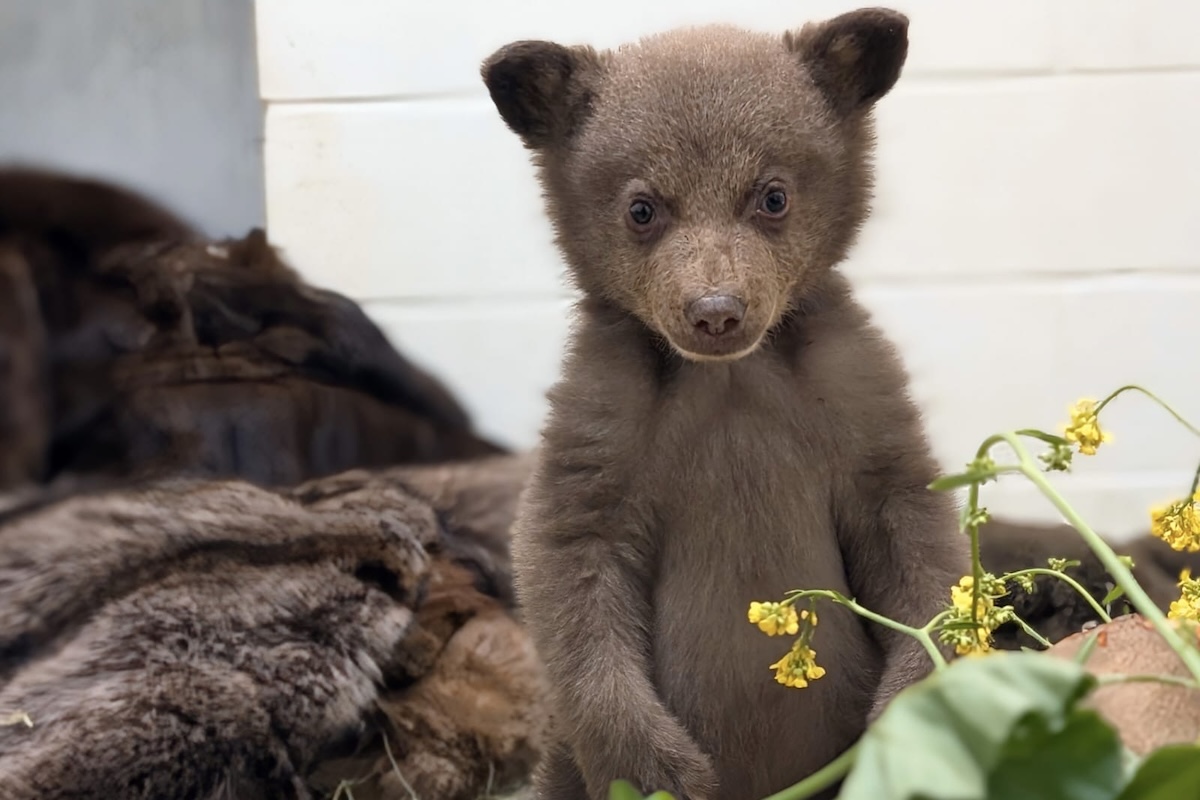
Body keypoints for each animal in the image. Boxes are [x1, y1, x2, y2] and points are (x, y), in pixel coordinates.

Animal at [481, 8, 968, 799]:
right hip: (558, 765)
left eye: (772, 196)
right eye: (642, 208)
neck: (729, 378)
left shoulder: (859, 396)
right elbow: (567, 567)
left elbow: (916, 537)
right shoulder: (600, 422)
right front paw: (659, 768)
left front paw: (903, 719)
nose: (715, 311)